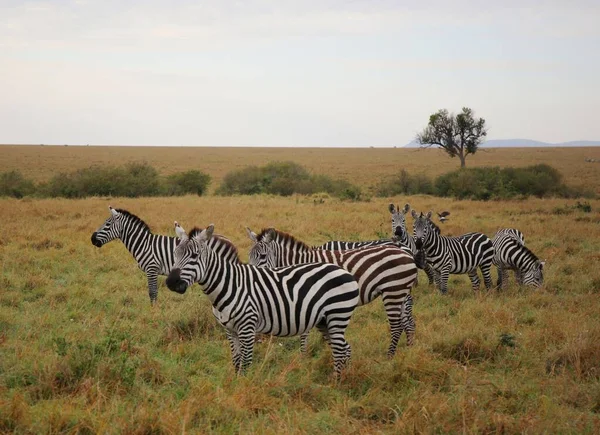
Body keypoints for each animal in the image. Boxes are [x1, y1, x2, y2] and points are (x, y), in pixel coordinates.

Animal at [166, 225, 358, 378]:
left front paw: (244, 387)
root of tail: (345, 272)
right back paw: (343, 377)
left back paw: (336, 382)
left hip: (337, 316)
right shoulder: (230, 330)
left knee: (340, 350)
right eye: (175, 254)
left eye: (195, 255)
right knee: (345, 348)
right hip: (324, 321)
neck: (230, 284)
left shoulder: (247, 327)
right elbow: (236, 360)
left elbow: (246, 362)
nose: (170, 282)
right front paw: (235, 384)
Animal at [246, 228, 420, 358]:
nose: (251, 275)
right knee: (408, 321)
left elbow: (304, 330)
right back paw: (409, 348)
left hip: (393, 291)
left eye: (262, 256)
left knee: (396, 325)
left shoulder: (306, 297)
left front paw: (303, 355)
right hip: (402, 291)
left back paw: (389, 356)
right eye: (249, 256)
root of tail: (406, 251)